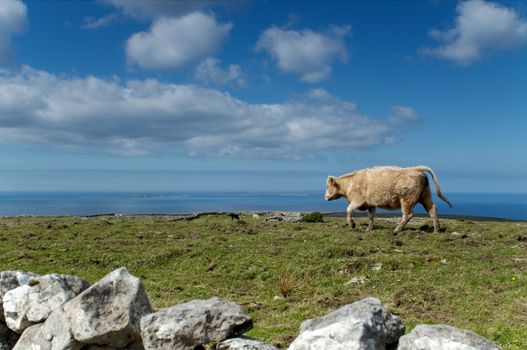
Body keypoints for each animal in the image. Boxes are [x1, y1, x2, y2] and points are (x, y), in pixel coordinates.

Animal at [326, 166, 454, 234]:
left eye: (327, 186)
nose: (325, 197)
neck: (350, 183)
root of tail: (415, 169)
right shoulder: (371, 204)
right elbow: (371, 217)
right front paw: (369, 229)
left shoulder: (357, 201)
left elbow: (348, 210)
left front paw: (352, 224)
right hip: (425, 197)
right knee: (432, 210)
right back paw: (436, 230)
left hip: (406, 200)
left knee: (408, 214)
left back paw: (396, 230)